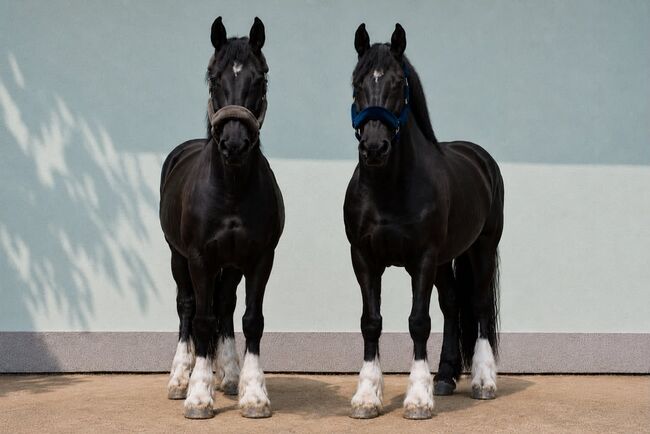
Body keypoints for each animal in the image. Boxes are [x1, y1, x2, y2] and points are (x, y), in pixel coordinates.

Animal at [159, 17, 284, 419]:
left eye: (260, 80)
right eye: (213, 79)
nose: (233, 143)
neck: (230, 191)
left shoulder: (260, 259)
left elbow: (251, 319)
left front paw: (254, 393)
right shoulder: (199, 258)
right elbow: (201, 319)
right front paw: (199, 395)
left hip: (230, 265)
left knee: (226, 307)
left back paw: (230, 376)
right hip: (178, 258)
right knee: (187, 309)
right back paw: (179, 379)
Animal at [344, 23, 504, 419]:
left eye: (399, 83)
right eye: (356, 82)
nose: (374, 147)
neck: (389, 188)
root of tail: (481, 158)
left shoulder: (423, 259)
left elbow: (418, 321)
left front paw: (418, 398)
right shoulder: (364, 258)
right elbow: (371, 322)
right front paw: (367, 396)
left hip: (481, 247)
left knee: (478, 305)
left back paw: (483, 381)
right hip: (447, 260)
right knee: (452, 305)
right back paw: (445, 377)